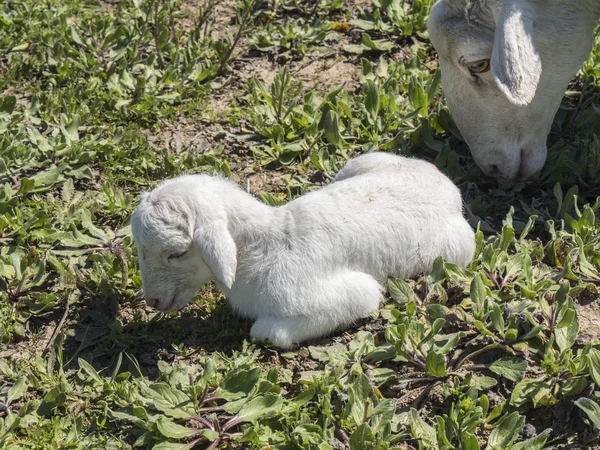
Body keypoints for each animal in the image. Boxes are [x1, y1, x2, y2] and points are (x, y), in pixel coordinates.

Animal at [130, 152, 474, 348]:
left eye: (177, 253)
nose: (152, 301)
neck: (261, 248)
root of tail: (448, 187)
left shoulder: (355, 293)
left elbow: (264, 331)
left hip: (458, 249)